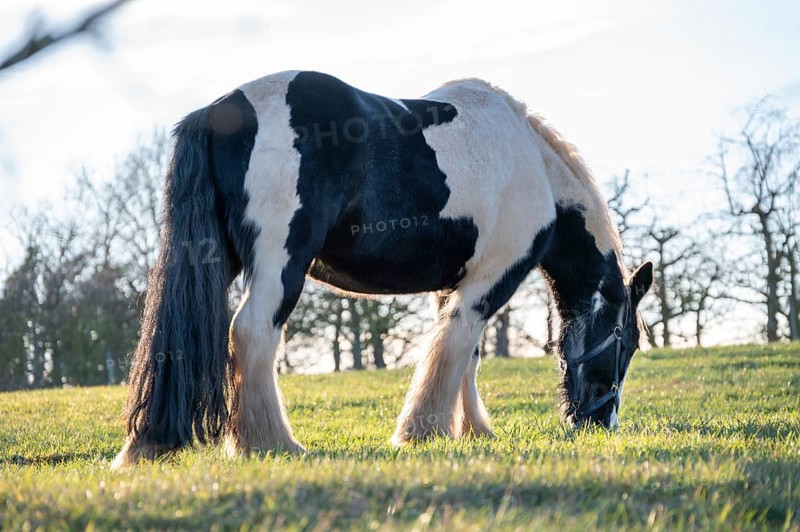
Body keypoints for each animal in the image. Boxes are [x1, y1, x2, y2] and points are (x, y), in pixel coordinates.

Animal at [112, 70, 653, 468]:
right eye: (627, 342)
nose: (600, 423)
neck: (534, 166)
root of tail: (222, 110)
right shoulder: (491, 279)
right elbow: (455, 348)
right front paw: (423, 431)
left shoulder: (456, 284)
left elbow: (465, 354)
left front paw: (472, 430)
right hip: (280, 262)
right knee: (252, 332)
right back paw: (271, 443)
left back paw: (149, 444)